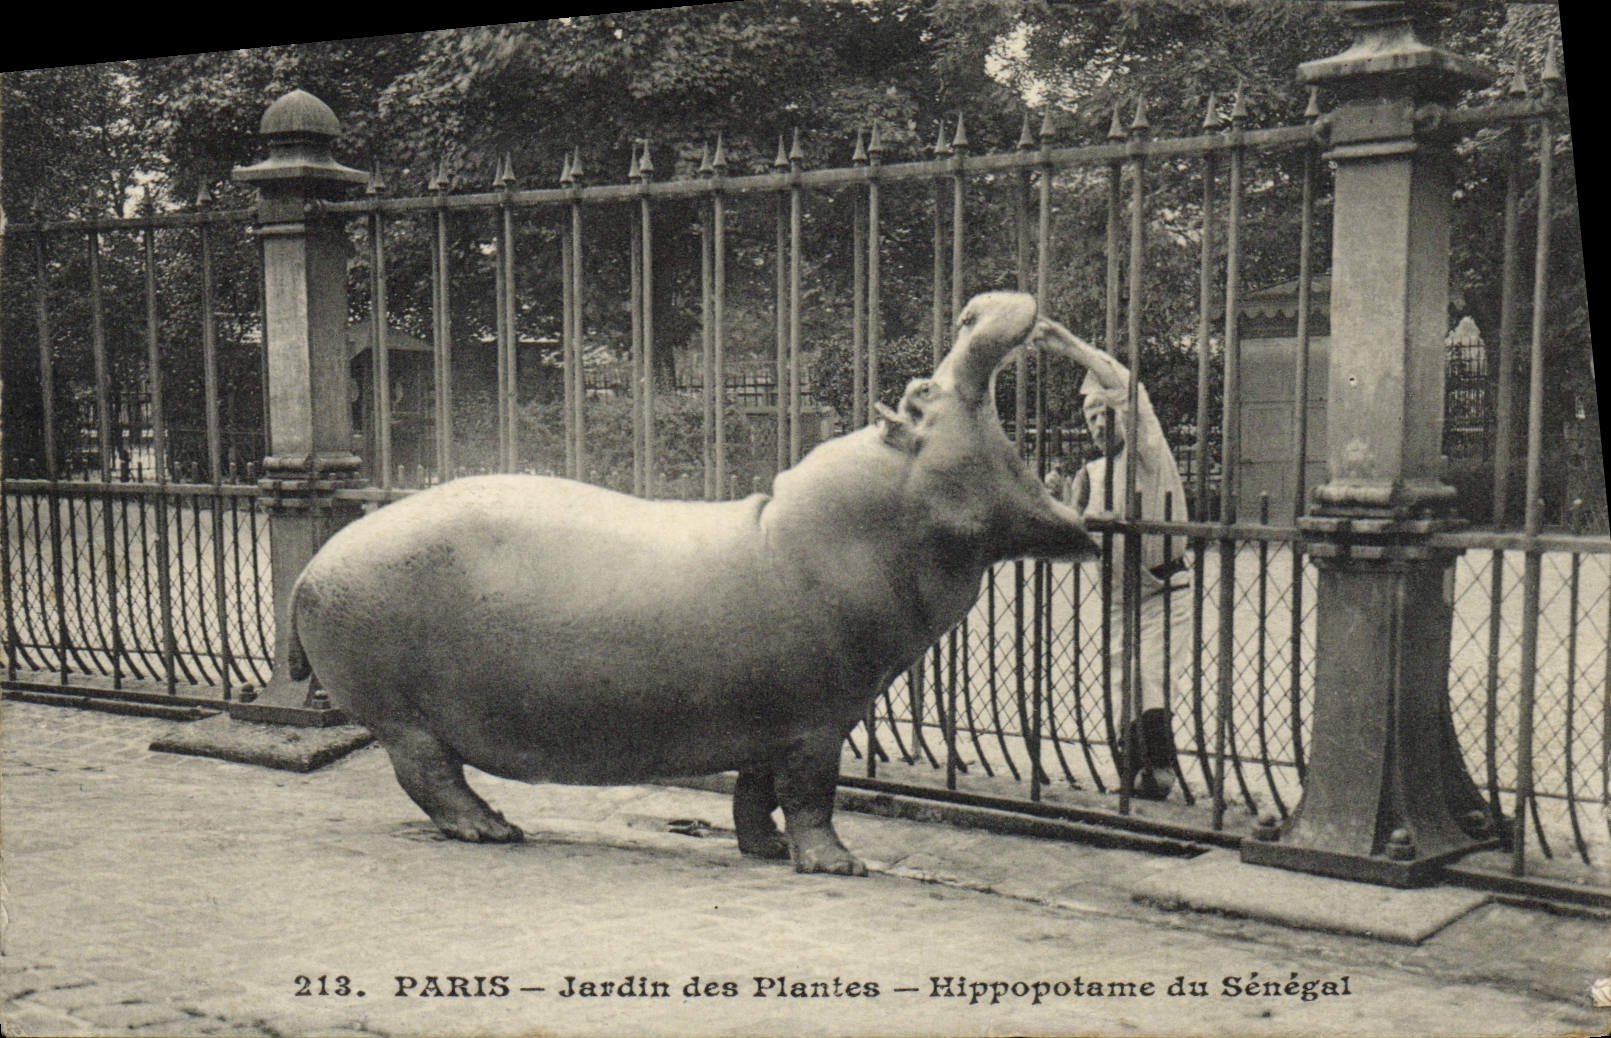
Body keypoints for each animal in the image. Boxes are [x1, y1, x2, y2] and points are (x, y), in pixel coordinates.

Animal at [288, 291, 1094, 875]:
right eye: (924, 391)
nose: (974, 306)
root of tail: (312, 565)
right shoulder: (819, 721)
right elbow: (812, 794)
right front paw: (838, 865)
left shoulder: (772, 720)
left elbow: (754, 793)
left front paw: (767, 851)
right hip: (404, 717)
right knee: (429, 776)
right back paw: (494, 829)